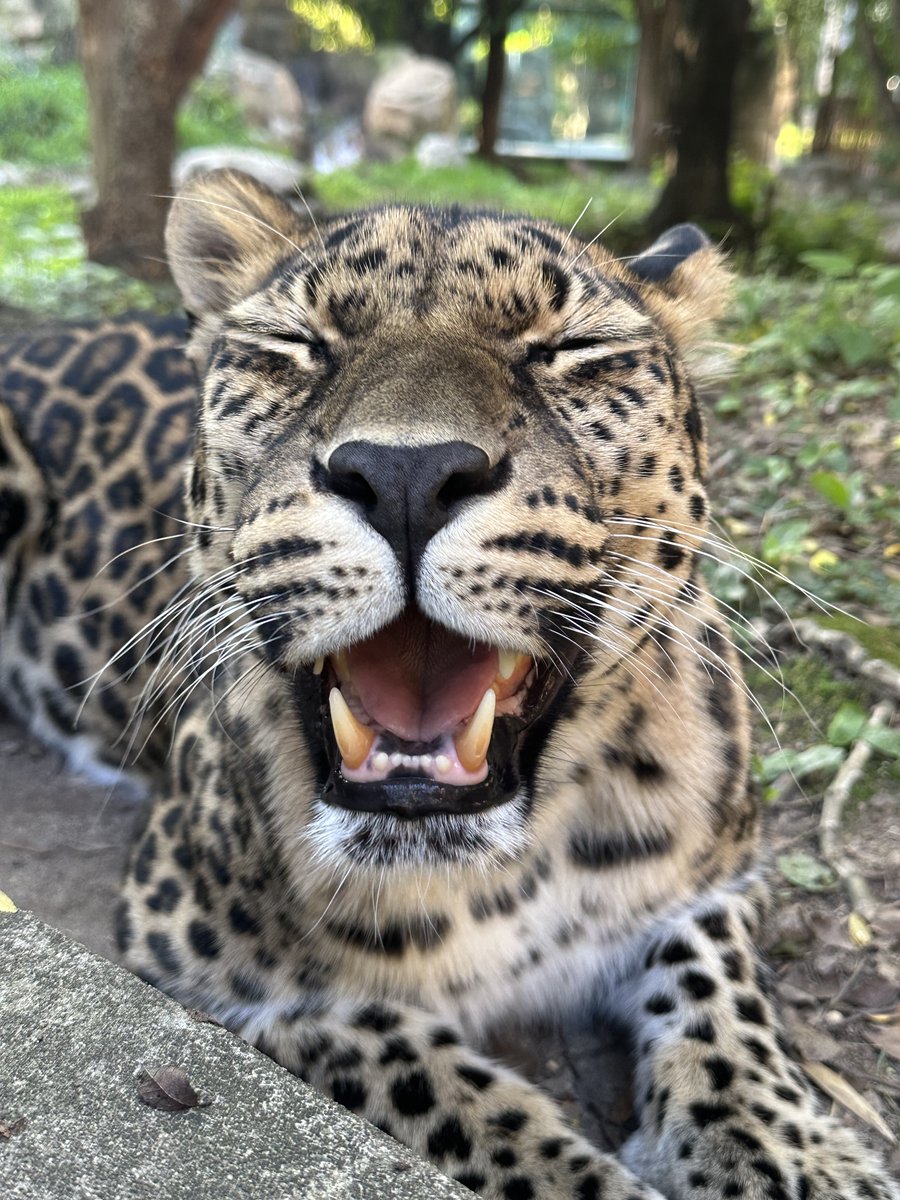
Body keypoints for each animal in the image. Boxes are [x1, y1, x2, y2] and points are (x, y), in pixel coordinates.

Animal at [0, 168, 896, 1200]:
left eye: (570, 351)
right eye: (298, 347)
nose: (403, 474)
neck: (507, 871)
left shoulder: (718, 876)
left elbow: (725, 1001)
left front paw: (790, 1157)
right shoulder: (204, 965)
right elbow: (449, 1092)